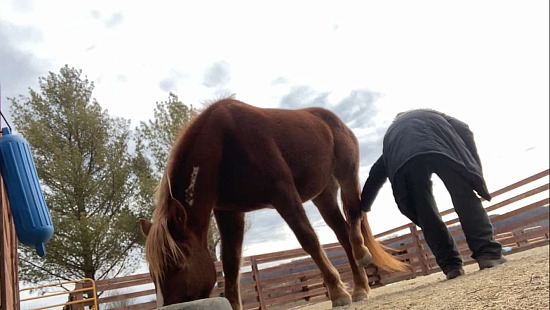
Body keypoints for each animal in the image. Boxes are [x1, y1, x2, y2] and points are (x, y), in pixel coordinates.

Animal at [140, 98, 408, 308]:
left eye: (176, 265)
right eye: (152, 274)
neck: (224, 143)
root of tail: (333, 120)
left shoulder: (283, 194)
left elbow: (308, 239)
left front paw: (337, 292)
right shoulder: (229, 212)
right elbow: (230, 263)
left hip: (346, 173)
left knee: (353, 214)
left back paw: (361, 257)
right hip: (323, 194)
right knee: (341, 233)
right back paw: (360, 288)